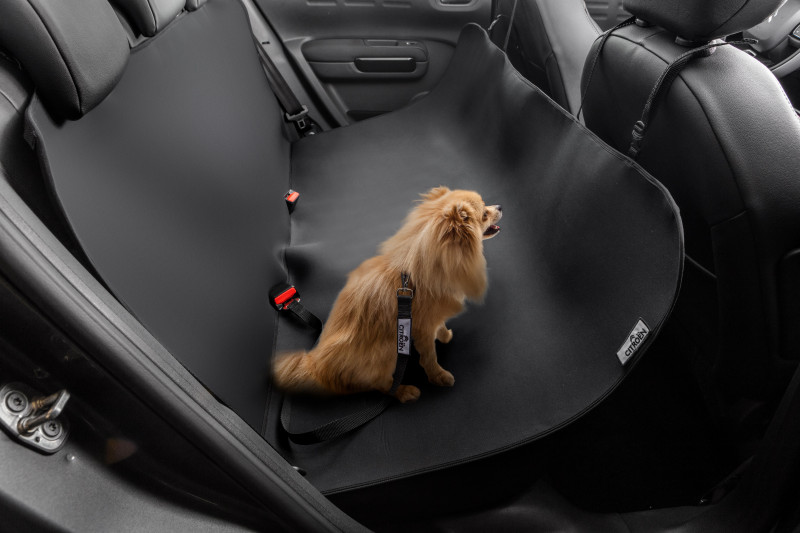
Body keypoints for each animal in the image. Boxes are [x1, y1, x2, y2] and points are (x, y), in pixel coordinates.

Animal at [272, 186, 502, 403]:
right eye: (484, 213)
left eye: (487, 206)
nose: (499, 207)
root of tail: (317, 367)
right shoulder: (422, 330)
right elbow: (429, 359)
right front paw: (439, 376)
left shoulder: (430, 319)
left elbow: (441, 326)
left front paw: (445, 335)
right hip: (388, 351)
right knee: (382, 385)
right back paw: (405, 392)